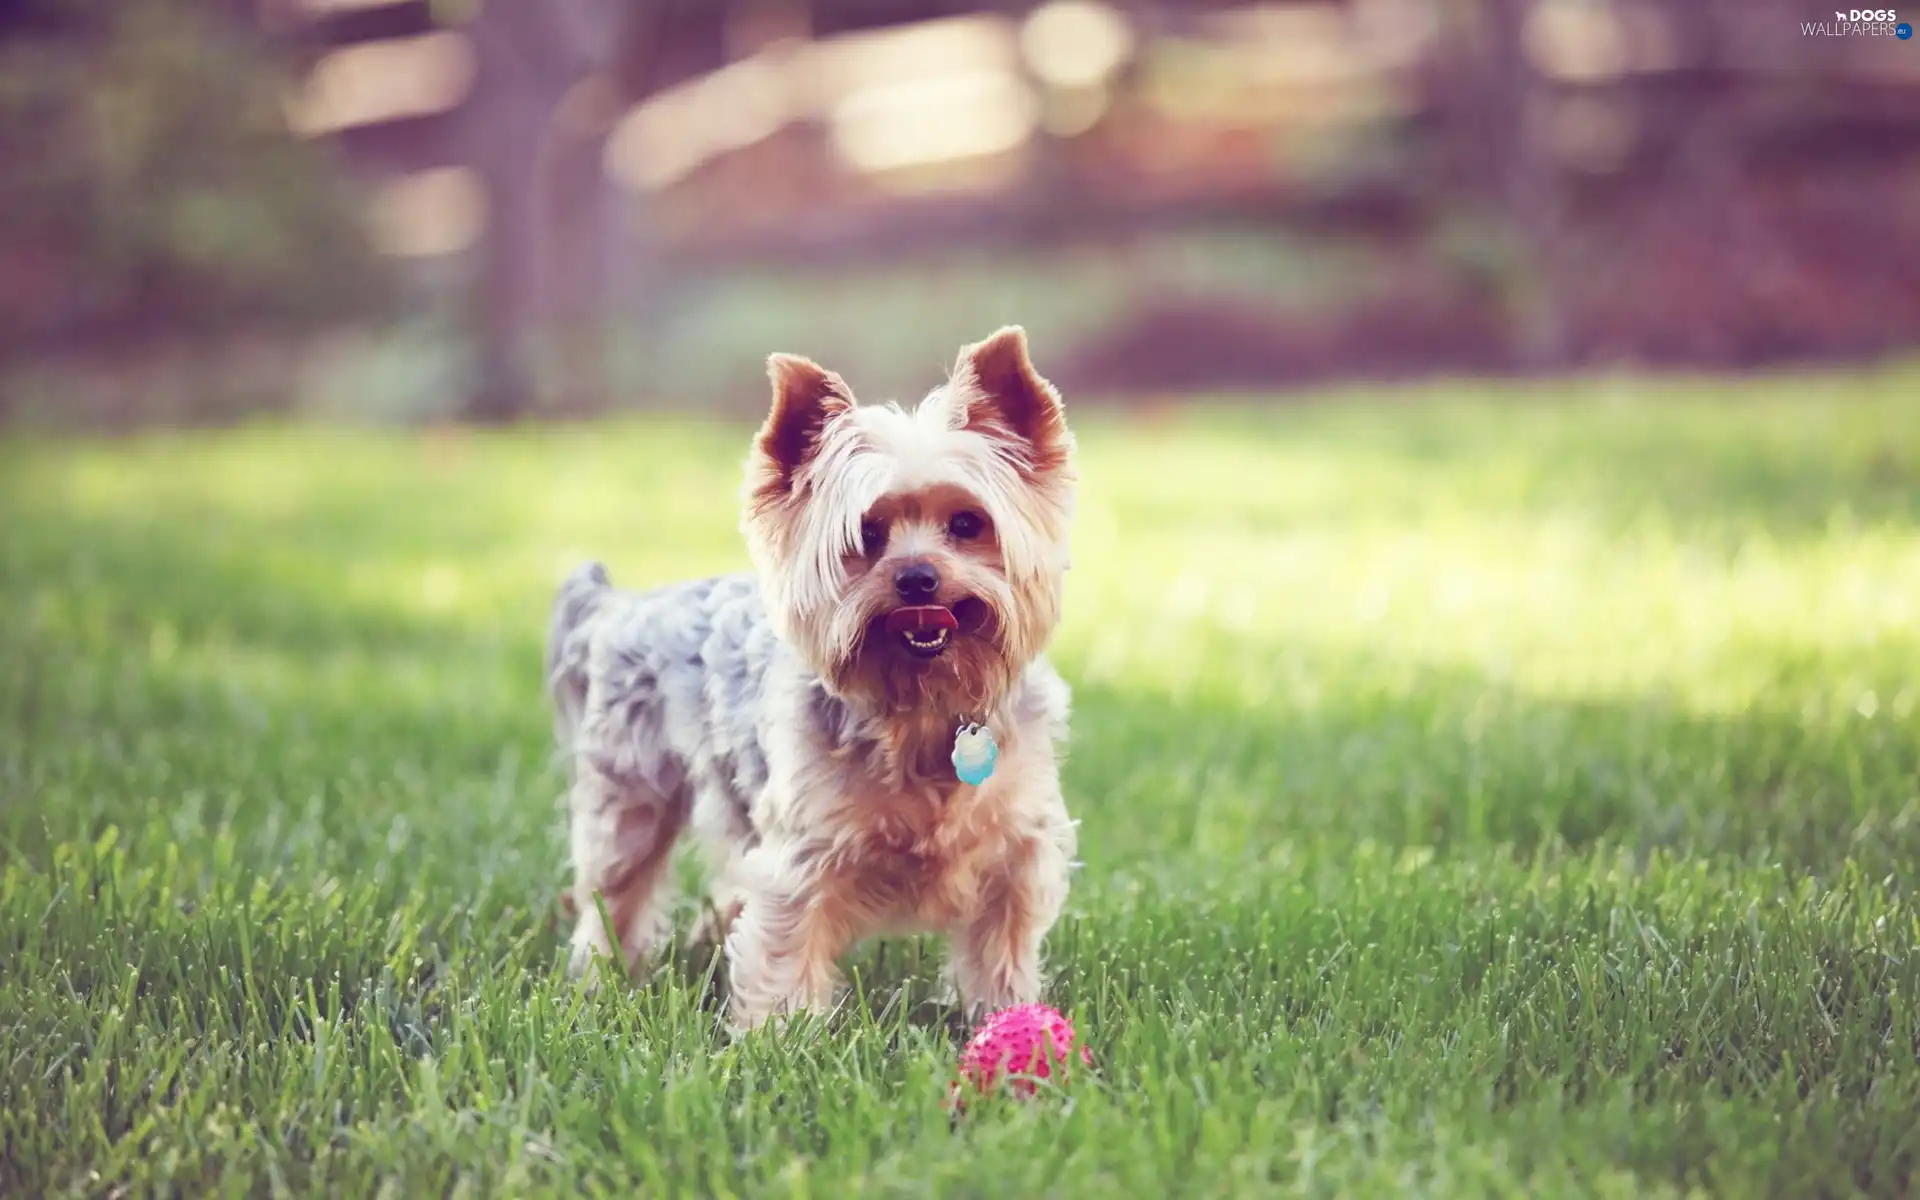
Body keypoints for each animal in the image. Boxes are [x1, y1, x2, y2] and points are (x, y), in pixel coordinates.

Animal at [549, 328, 1082, 1029]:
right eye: (867, 533)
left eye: (968, 524)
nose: (917, 578)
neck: (923, 704)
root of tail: (621, 606)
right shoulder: (801, 855)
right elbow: (783, 949)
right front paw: (779, 1039)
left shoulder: (1017, 850)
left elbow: (1002, 949)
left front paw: (1010, 1018)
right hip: (630, 795)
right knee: (615, 891)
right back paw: (600, 978)